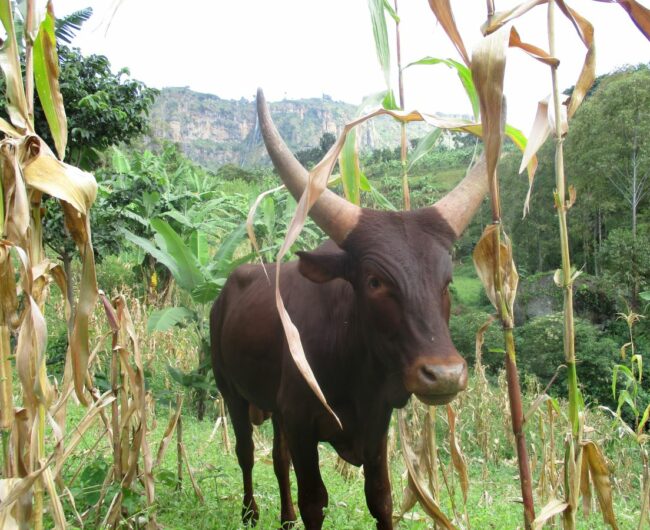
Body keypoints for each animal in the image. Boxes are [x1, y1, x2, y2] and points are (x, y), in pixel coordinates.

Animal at [210, 88, 488, 530]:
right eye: (375, 281)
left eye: (445, 283)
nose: (444, 375)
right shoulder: (302, 423)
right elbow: (314, 501)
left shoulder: (376, 427)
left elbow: (382, 498)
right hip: (231, 391)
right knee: (246, 453)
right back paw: (250, 512)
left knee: (278, 459)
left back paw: (284, 518)